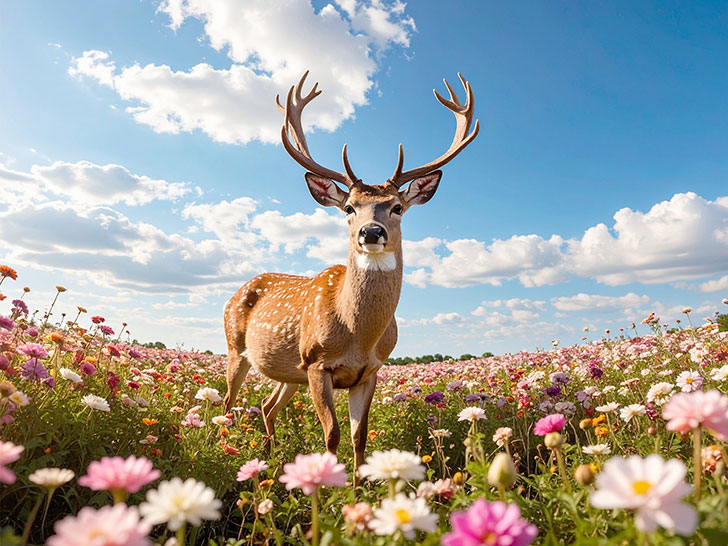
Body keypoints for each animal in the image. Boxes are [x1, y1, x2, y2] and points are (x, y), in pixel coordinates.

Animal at [223, 71, 478, 480]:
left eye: (397, 207)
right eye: (348, 207)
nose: (371, 232)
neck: (357, 335)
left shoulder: (370, 371)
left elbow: (359, 436)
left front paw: (360, 487)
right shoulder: (316, 363)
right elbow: (332, 435)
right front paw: (330, 487)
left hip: (288, 373)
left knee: (266, 406)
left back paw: (270, 459)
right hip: (236, 349)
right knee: (228, 406)